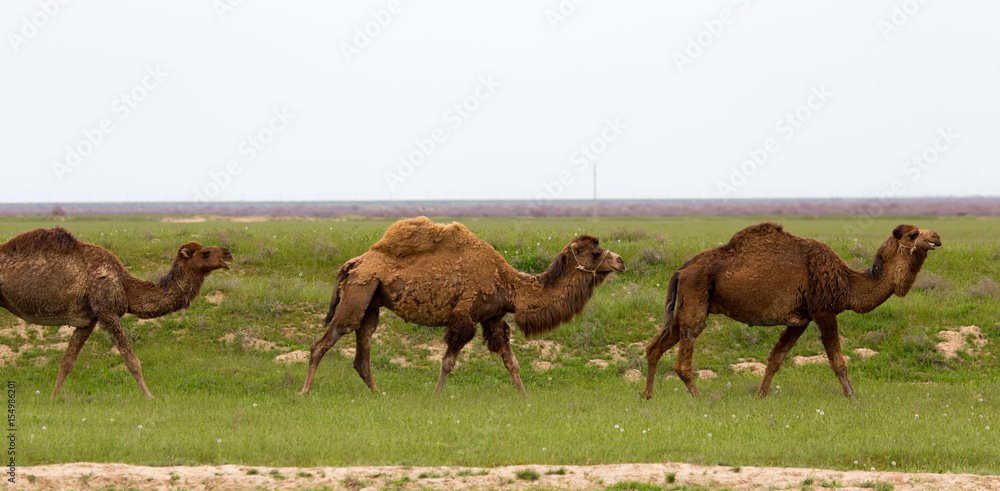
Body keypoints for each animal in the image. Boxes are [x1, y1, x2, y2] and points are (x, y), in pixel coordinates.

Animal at [0, 227, 232, 398]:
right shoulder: (108, 311)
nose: (228, 253)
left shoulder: (89, 319)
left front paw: (52, 398)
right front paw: (150, 397)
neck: (125, 285)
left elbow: (68, 361)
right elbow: (131, 359)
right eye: (205, 252)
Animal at [299, 216, 625, 396]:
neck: (509, 286)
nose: (620, 261)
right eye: (596, 253)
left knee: (362, 354)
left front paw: (526, 398)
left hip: (371, 302)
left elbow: (512, 362)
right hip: (358, 293)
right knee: (324, 342)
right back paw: (304, 392)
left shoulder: (492, 318)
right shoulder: (464, 316)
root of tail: (354, 263)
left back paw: (380, 395)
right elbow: (448, 362)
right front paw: (435, 397)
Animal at [642, 222, 941, 400]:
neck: (847, 283)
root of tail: (681, 269)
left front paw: (760, 397)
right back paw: (699, 399)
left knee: (655, 346)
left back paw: (647, 395)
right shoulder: (823, 312)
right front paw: (854, 399)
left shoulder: (800, 320)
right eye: (913, 234)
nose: (936, 236)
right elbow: (838, 361)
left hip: (688, 303)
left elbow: (775, 358)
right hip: (696, 296)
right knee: (684, 354)